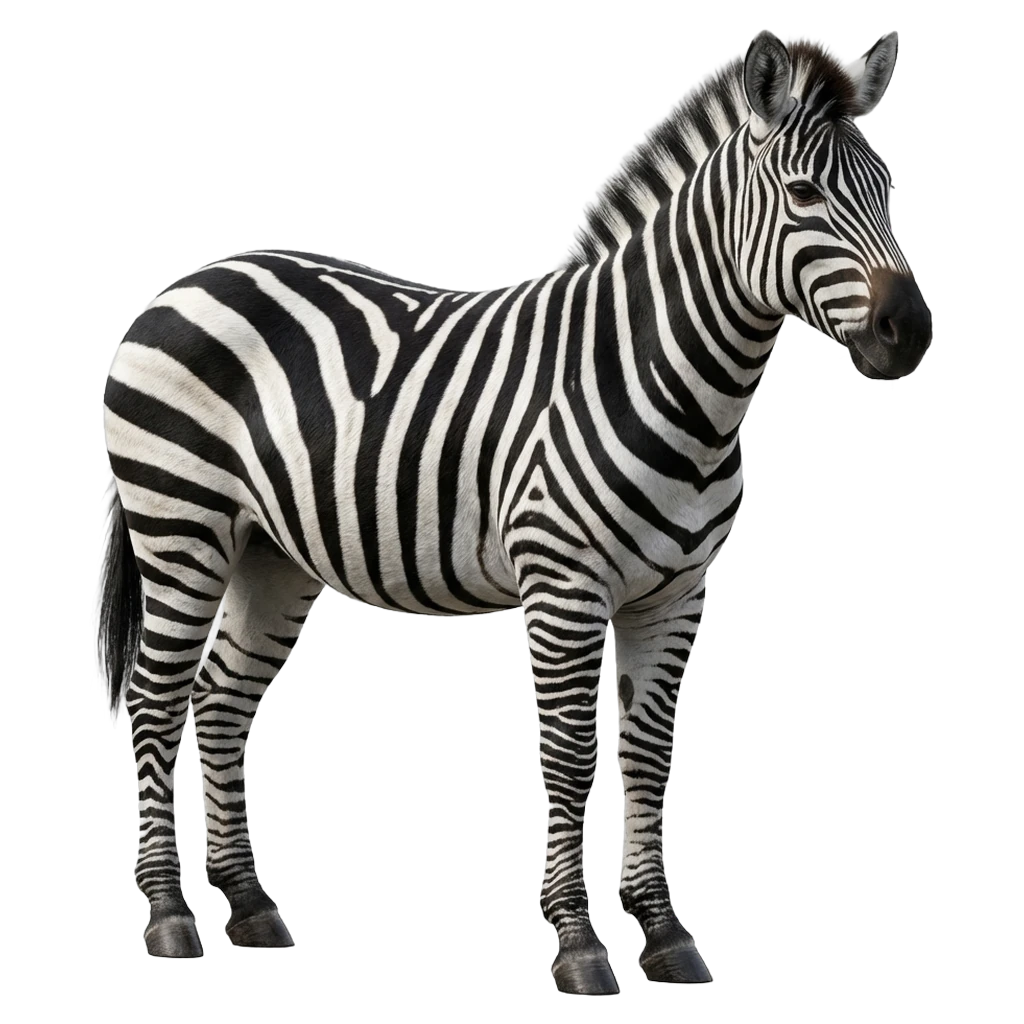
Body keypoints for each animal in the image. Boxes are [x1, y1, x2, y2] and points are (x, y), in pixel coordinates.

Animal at [95, 29, 931, 990]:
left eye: (889, 192)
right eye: (803, 195)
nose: (910, 330)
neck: (669, 379)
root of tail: (186, 282)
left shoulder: (677, 595)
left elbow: (647, 756)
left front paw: (665, 936)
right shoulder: (564, 587)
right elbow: (569, 759)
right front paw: (577, 945)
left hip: (270, 555)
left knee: (221, 702)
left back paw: (248, 904)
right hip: (181, 527)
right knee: (156, 700)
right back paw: (167, 916)